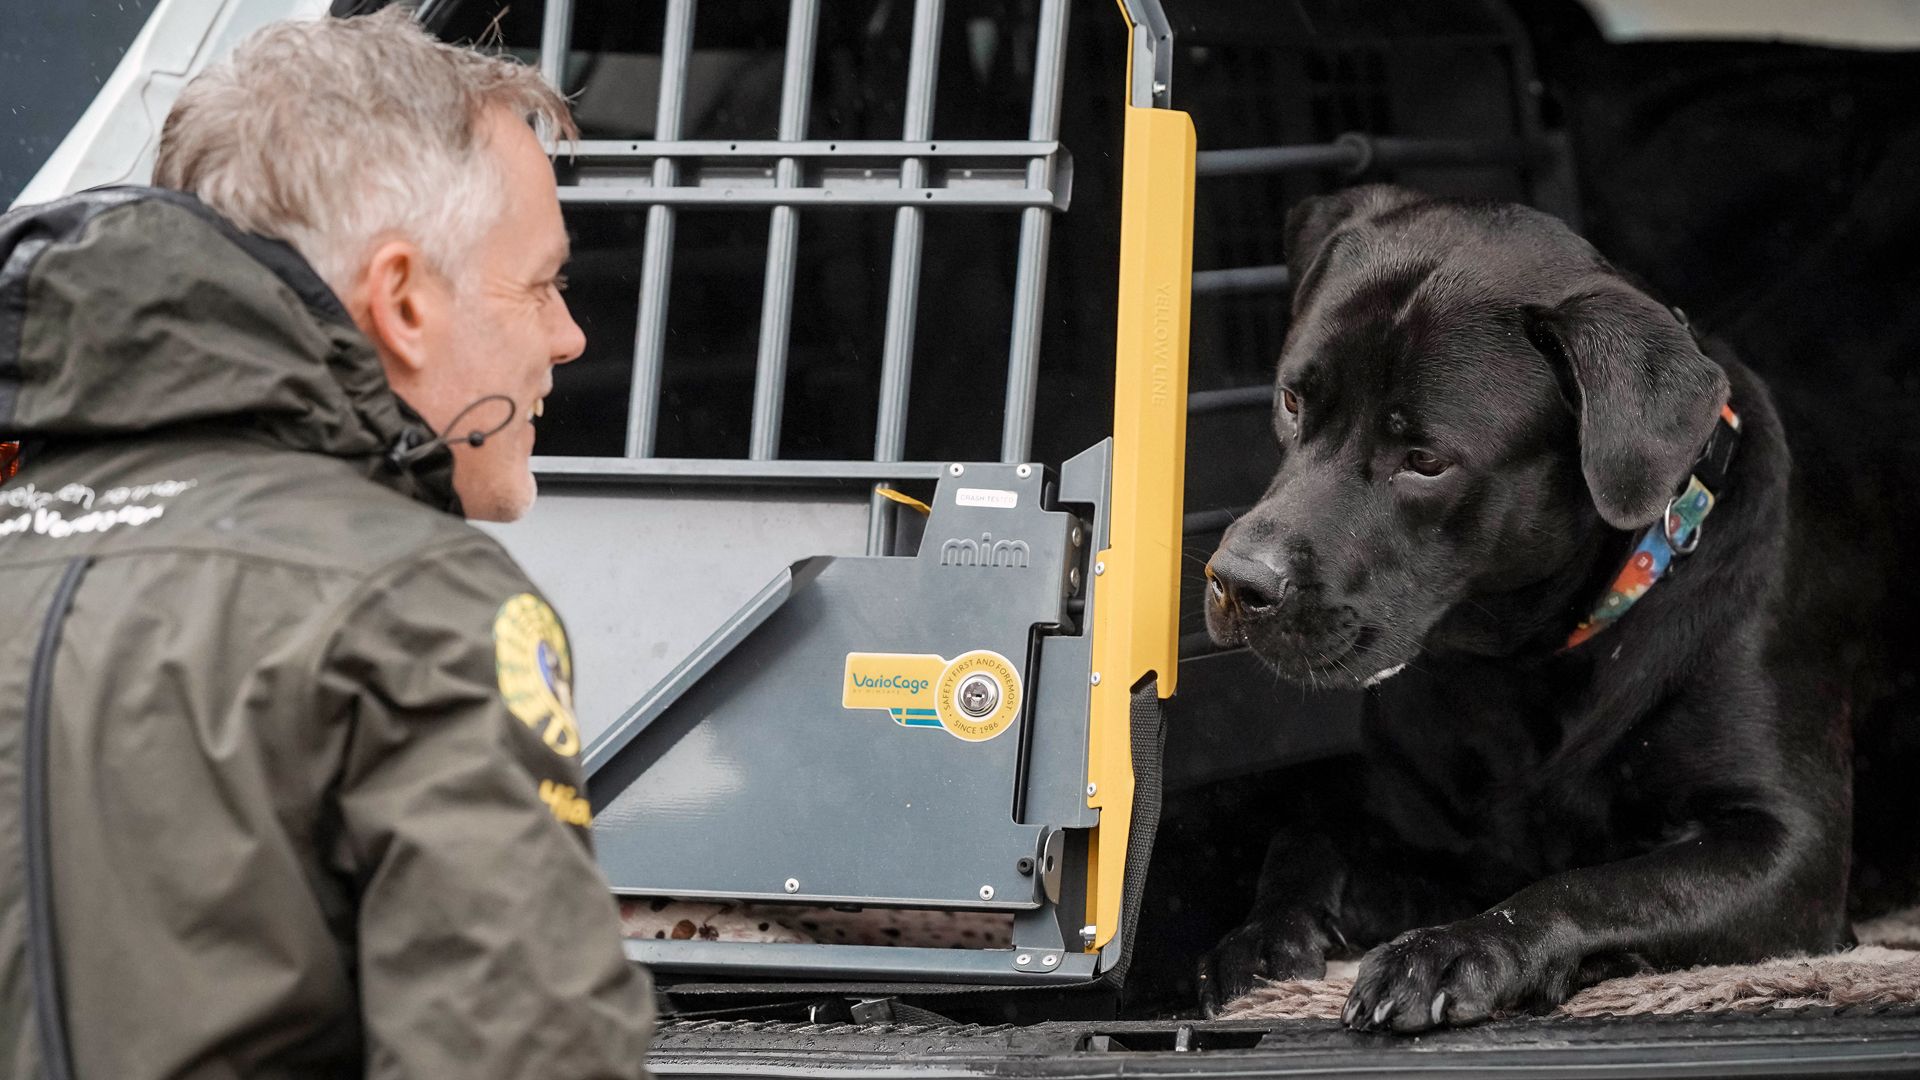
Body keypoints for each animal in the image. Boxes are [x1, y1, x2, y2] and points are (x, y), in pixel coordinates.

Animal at [1198, 182, 1920, 1022]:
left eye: (1425, 461)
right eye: (1291, 398)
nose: (1238, 580)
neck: (1522, 663)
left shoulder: (1787, 849)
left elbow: (1599, 885)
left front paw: (1453, 950)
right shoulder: (1437, 841)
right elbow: (1307, 833)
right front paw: (1261, 935)